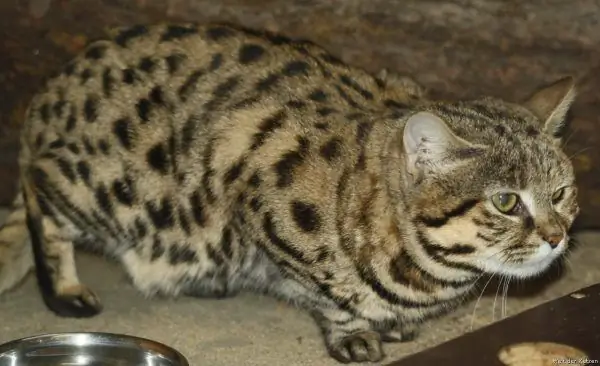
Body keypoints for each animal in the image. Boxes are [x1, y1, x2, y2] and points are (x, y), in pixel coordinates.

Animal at [1, 22, 580, 364]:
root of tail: (50, 94)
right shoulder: (255, 189)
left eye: (562, 193)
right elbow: (325, 292)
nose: (557, 237)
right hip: (116, 191)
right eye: (505, 201)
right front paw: (354, 329)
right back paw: (65, 288)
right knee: (36, 187)